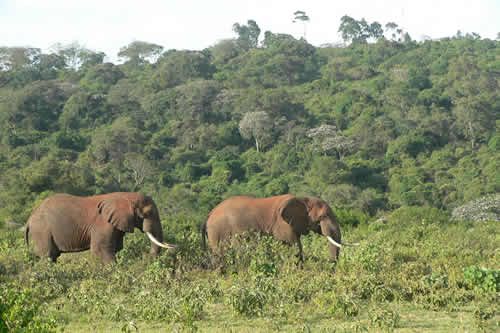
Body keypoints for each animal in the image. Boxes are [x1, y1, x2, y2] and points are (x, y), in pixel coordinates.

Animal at [26, 191, 178, 264]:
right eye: (147, 213)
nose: (147, 258)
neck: (126, 196)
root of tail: (29, 219)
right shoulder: (103, 224)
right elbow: (101, 250)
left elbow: (116, 248)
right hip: (41, 231)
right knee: (48, 256)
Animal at [201, 195, 342, 262]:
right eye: (323, 216)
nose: (331, 263)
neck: (303, 199)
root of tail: (209, 214)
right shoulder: (282, 224)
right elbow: (295, 247)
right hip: (218, 232)